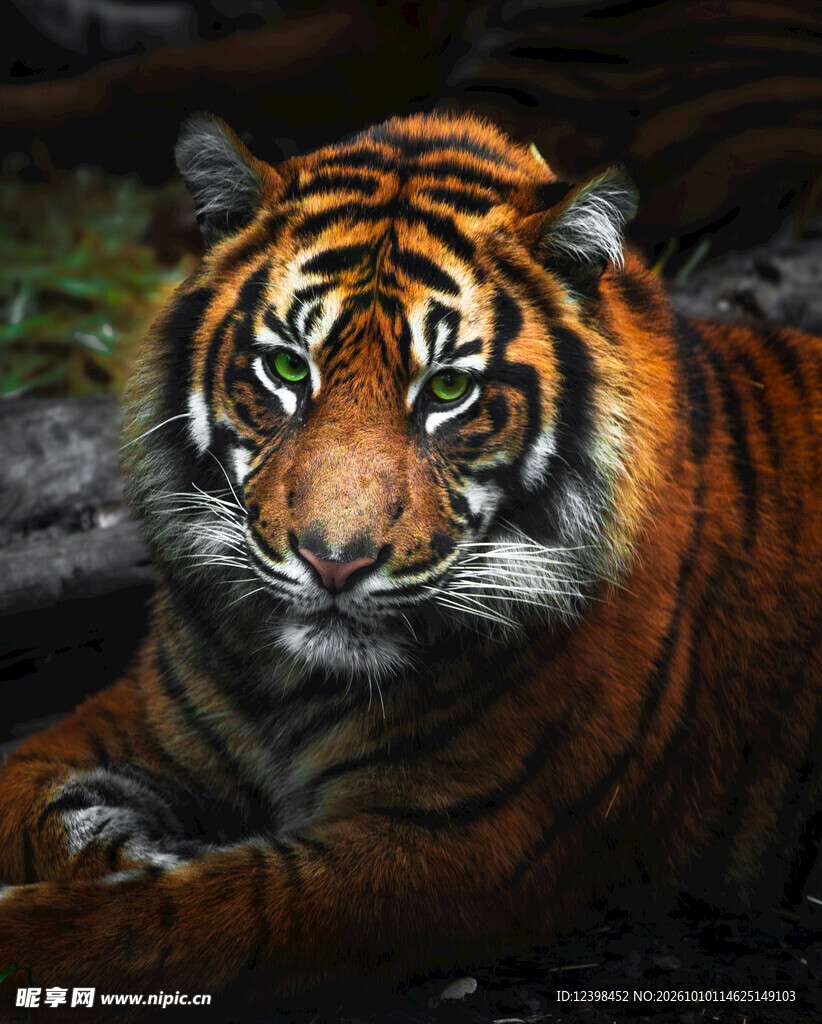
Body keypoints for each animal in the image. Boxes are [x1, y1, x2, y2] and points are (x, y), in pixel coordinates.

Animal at [1, 110, 821, 1022]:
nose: (334, 562)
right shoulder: (128, 718)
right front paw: (144, 848)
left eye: (449, 391)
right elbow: (32, 807)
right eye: (287, 368)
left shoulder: (451, 843)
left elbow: (197, 916)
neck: (291, 688)